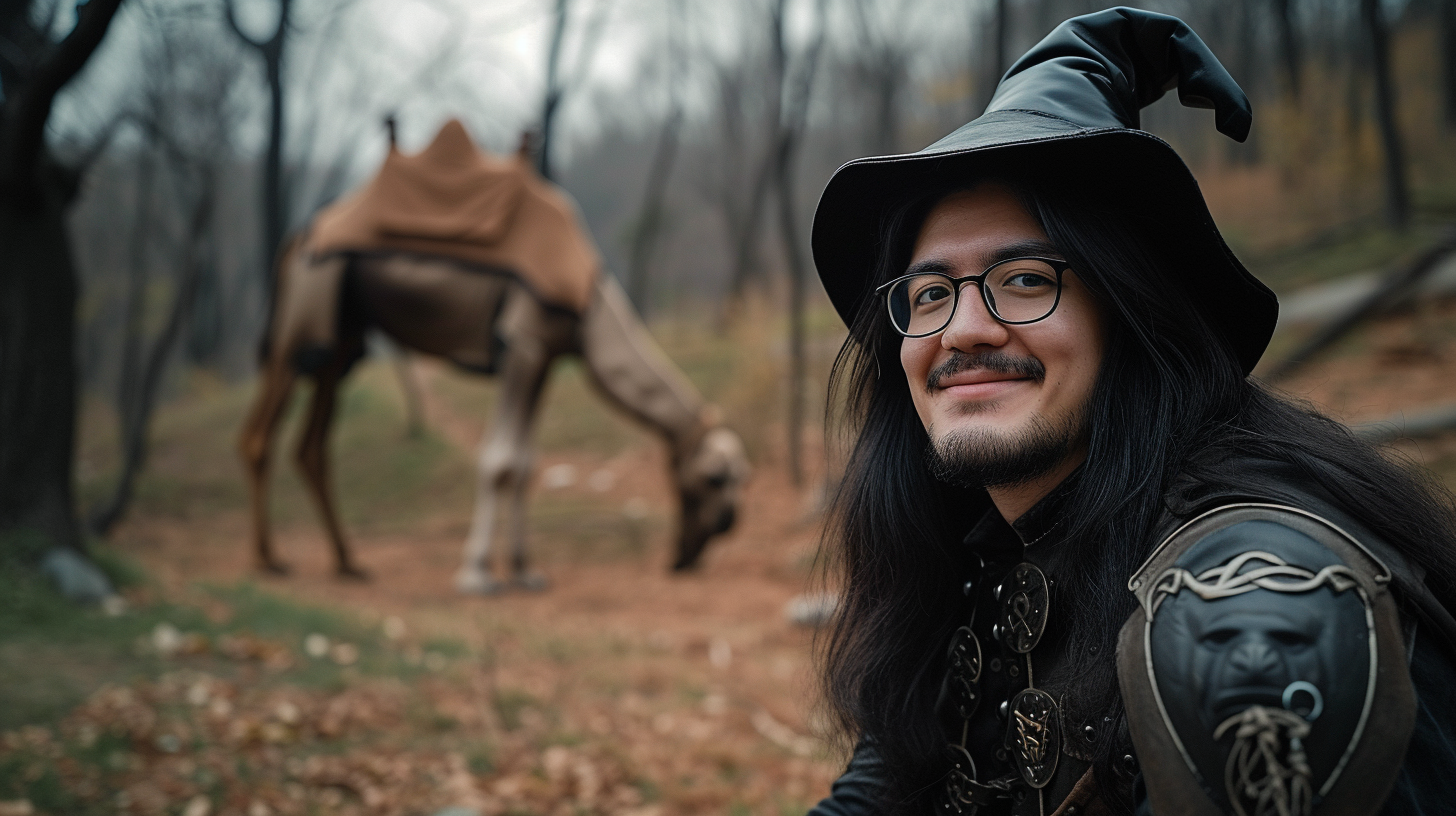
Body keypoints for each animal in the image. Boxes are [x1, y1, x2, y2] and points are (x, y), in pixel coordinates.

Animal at [237, 120, 751, 591]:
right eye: (713, 478)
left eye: (739, 479)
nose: (697, 550)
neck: (589, 310)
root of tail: (300, 238)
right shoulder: (521, 345)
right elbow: (499, 460)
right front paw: (478, 573)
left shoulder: (545, 358)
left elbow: (525, 464)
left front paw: (525, 570)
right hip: (304, 319)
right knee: (261, 435)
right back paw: (269, 560)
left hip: (340, 344)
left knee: (312, 447)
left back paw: (348, 563)